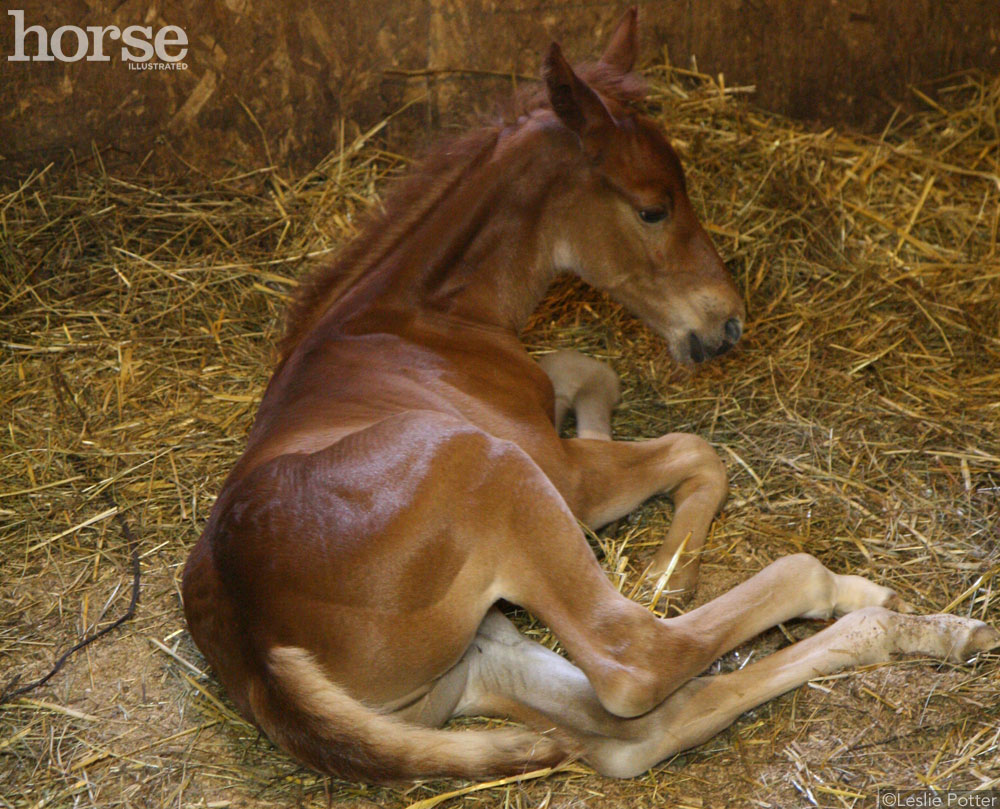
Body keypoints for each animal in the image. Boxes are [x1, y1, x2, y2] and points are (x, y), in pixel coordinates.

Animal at [182, 11, 1000, 784]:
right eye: (652, 208)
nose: (727, 324)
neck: (415, 320)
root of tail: (258, 652)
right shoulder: (561, 478)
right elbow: (694, 450)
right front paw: (670, 566)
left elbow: (588, 372)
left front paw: (609, 446)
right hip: (499, 474)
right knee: (637, 660)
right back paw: (848, 595)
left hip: (472, 660)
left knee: (633, 732)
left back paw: (927, 628)